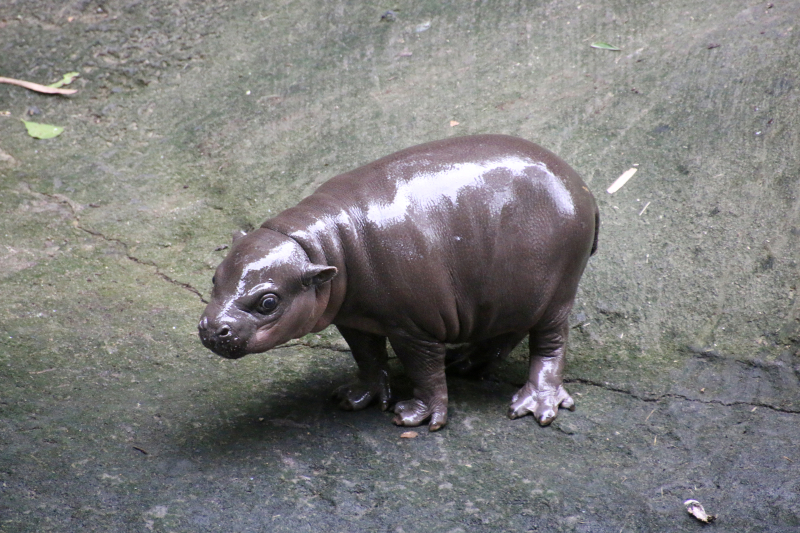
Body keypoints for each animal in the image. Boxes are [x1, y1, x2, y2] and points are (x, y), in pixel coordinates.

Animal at [198, 134, 598, 431]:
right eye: (215, 275)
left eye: (268, 302)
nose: (211, 328)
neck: (323, 244)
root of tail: (584, 188)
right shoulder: (354, 318)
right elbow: (367, 356)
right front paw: (354, 397)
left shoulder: (416, 327)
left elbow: (424, 370)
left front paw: (414, 417)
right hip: (509, 293)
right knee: (506, 331)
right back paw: (465, 363)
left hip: (557, 292)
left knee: (550, 343)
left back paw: (533, 406)